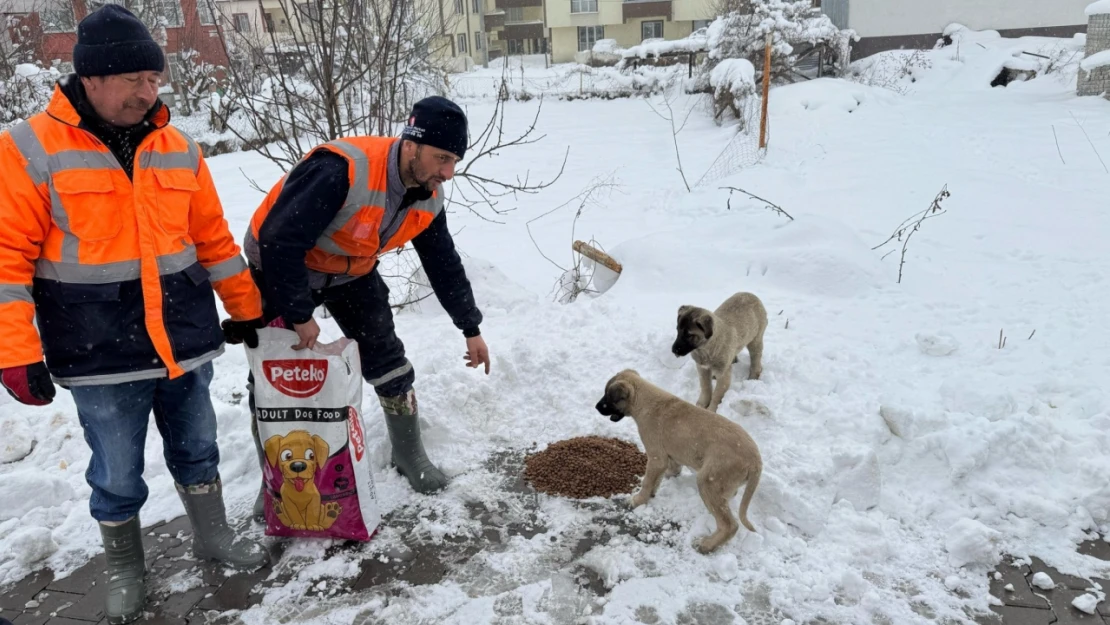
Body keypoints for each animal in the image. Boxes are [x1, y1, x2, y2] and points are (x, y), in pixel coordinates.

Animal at [590, 368, 763, 555]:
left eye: (608, 397)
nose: (596, 407)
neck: (644, 401)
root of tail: (756, 461)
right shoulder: (667, 456)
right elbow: (662, 475)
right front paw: (657, 487)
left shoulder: (656, 456)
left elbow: (647, 481)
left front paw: (638, 500)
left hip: (708, 481)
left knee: (729, 525)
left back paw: (706, 544)